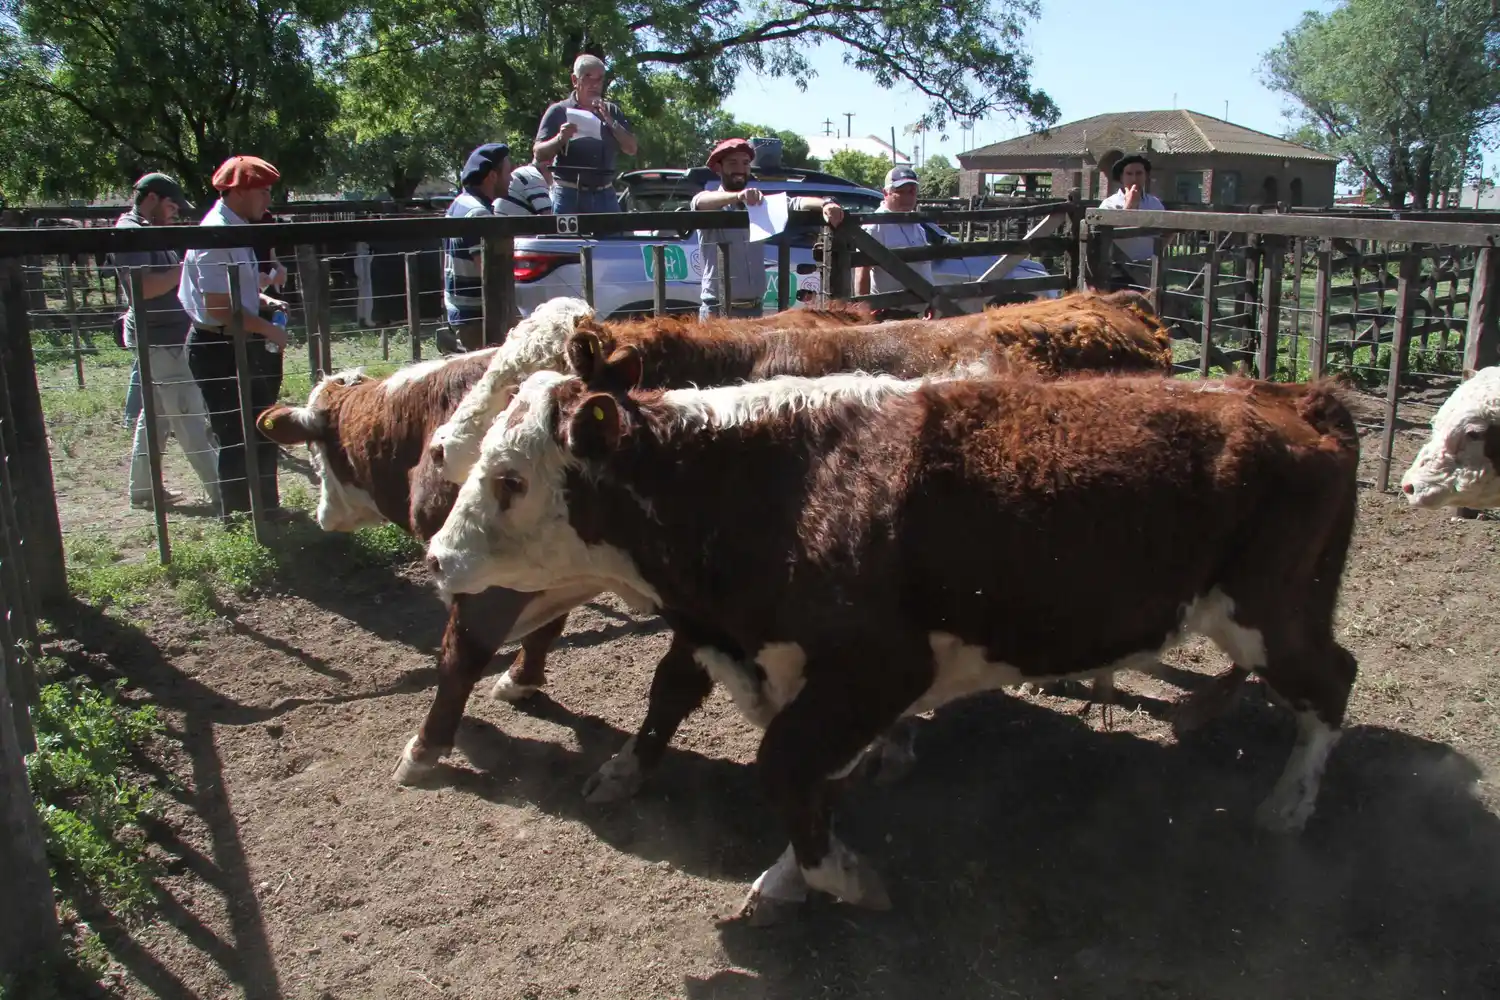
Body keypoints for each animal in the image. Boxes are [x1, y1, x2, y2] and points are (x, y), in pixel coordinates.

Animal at [425, 367, 1362, 923]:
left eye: (510, 480)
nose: (435, 557)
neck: (779, 485)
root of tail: (1289, 398)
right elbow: (801, 774)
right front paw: (797, 872)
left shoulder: (878, 668)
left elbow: (784, 768)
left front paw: (836, 879)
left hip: (1269, 611)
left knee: (1334, 681)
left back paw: (1289, 805)